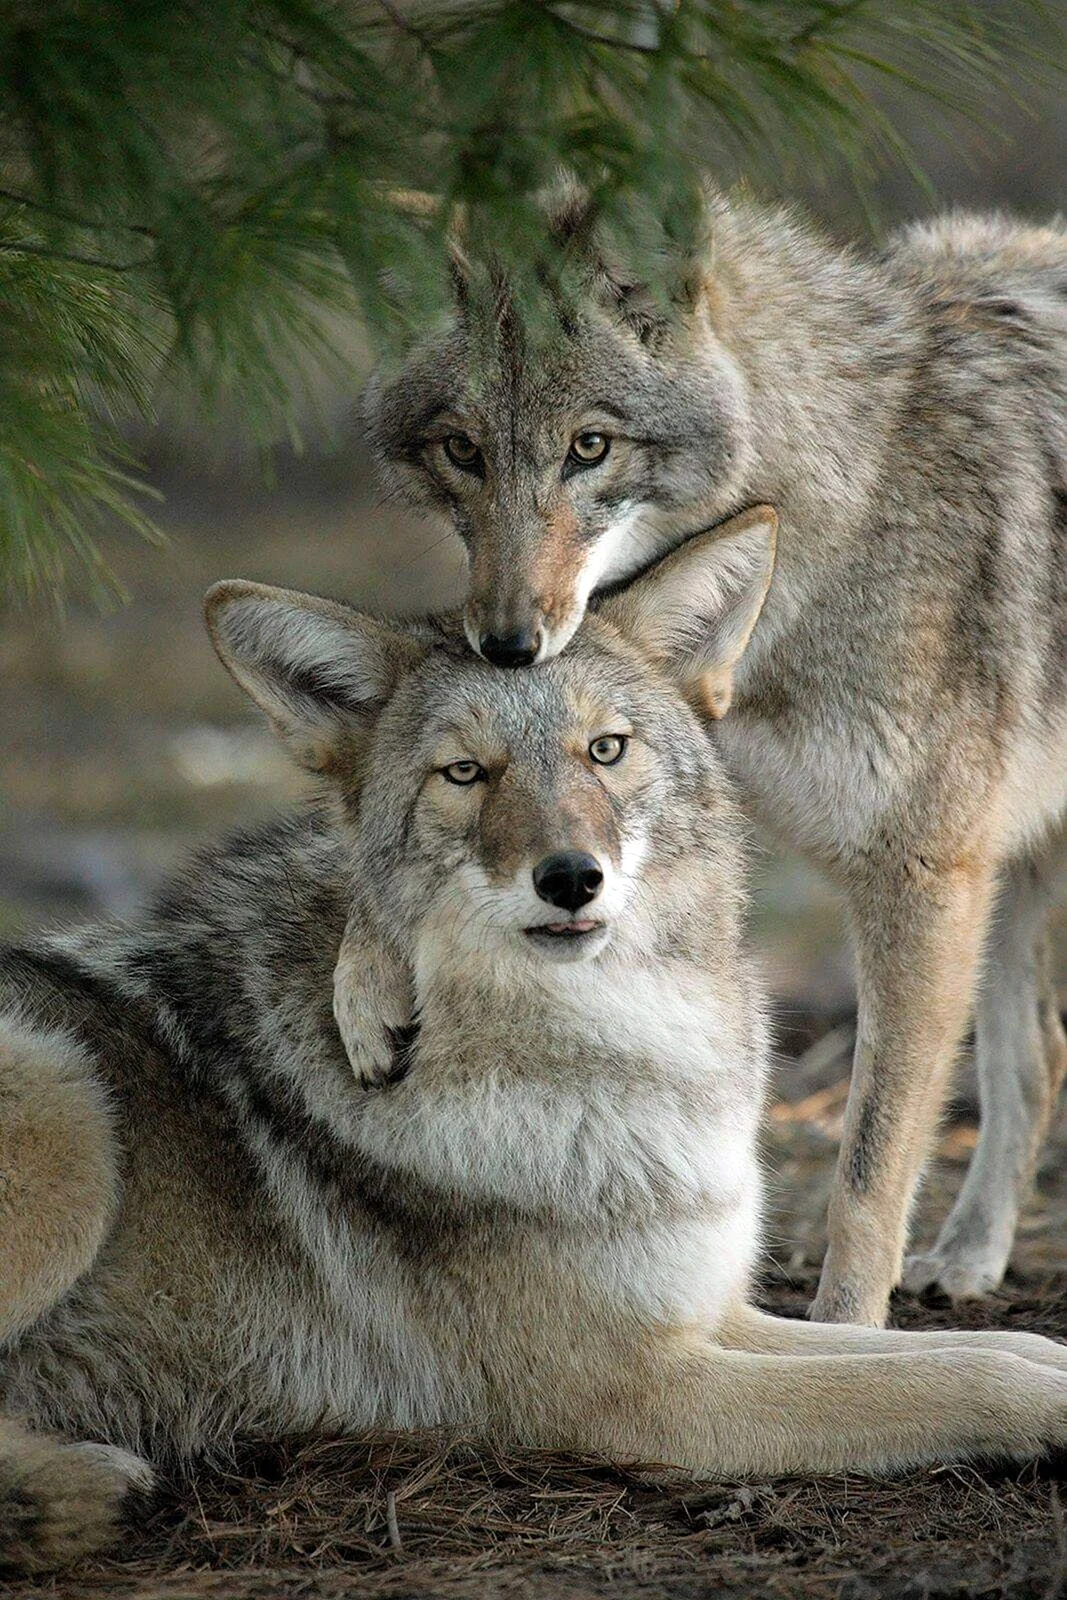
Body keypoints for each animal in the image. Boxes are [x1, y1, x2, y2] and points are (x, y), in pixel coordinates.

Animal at [4, 520, 1067, 1570]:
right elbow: (952, 1376)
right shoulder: (641, 1388)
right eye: (465, 772)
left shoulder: (709, 1312)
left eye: (605, 750)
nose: (569, 878)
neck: (630, 1051)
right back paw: (85, 1484)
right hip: (68, 1107)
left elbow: (984, 1348)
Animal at [365, 186, 1067, 1327]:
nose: (506, 644)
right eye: (463, 450)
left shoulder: (919, 876)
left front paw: (845, 1333)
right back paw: (968, 1258)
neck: (847, 502)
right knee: (1038, 1056)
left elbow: (867, 1166)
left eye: (589, 446)